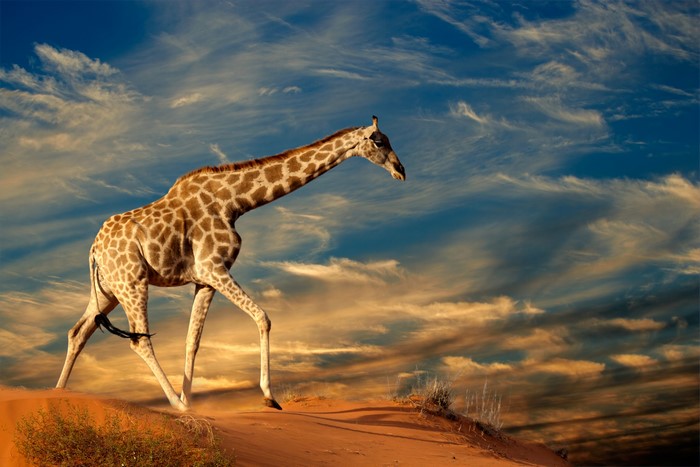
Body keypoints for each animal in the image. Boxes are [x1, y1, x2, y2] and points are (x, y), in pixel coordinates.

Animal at [56, 116, 405, 412]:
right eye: (379, 141)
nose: (401, 170)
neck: (235, 202)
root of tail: (93, 250)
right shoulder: (214, 267)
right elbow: (263, 317)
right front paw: (268, 397)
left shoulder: (204, 280)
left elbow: (192, 341)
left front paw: (192, 400)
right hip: (132, 282)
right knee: (139, 340)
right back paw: (175, 406)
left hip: (108, 290)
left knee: (78, 332)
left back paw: (58, 394)